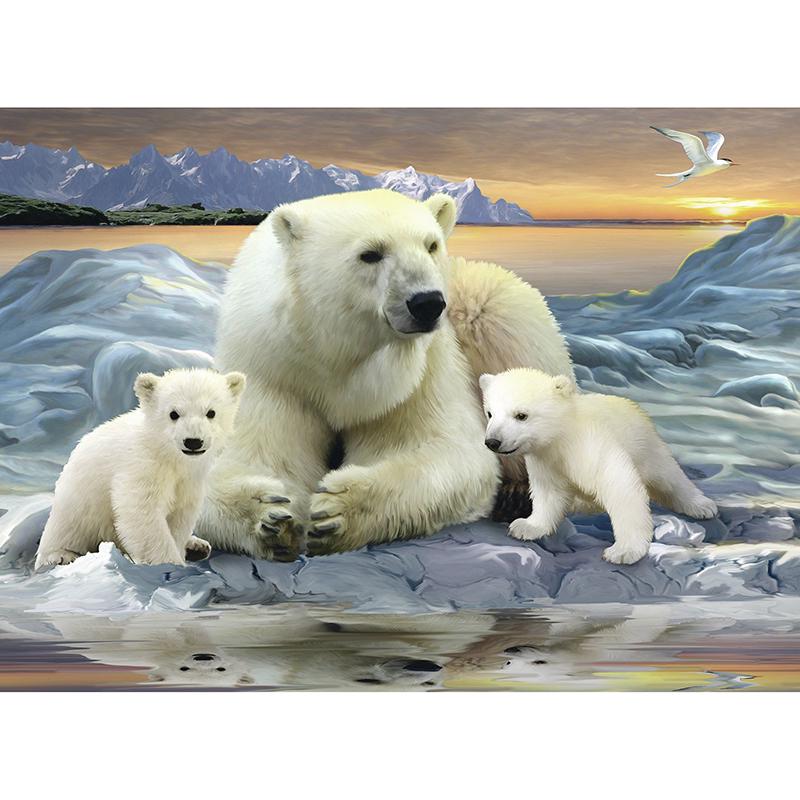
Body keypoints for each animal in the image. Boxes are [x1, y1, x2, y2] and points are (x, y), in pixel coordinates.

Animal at [35, 368, 246, 569]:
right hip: (77, 505)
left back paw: (197, 545)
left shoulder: (189, 478)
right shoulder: (142, 465)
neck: (168, 454)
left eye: (211, 412)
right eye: (173, 413)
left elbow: (180, 514)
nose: (193, 441)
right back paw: (61, 555)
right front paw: (171, 563)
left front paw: (181, 549)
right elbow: (142, 512)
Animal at [197, 189, 573, 561]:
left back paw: (517, 493)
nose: (427, 303)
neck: (334, 356)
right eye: (370, 254)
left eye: (430, 244)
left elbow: (442, 449)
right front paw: (269, 516)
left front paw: (338, 511)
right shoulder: (274, 370)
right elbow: (254, 457)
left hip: (492, 308)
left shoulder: (417, 377)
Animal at [479, 368, 718, 564]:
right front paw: (526, 526)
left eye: (521, 415)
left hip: (646, 446)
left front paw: (624, 551)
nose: (493, 441)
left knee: (669, 477)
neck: (563, 435)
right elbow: (548, 493)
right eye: (490, 413)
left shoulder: (591, 445)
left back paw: (702, 506)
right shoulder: (545, 460)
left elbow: (619, 487)